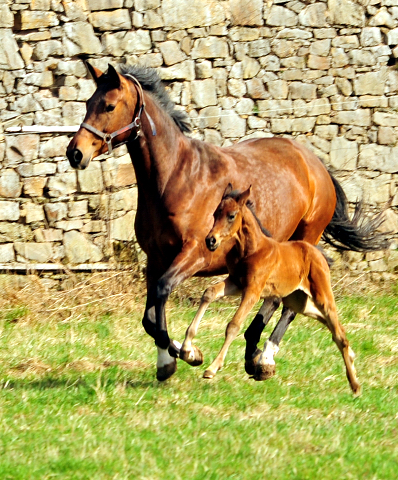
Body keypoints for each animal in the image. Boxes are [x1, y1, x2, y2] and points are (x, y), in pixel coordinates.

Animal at [182, 186, 362, 396]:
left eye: (231, 215)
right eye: (215, 214)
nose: (211, 240)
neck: (251, 249)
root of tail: (317, 252)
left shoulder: (253, 291)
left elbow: (234, 325)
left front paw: (212, 368)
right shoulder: (235, 282)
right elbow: (209, 292)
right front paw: (187, 350)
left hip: (321, 296)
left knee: (337, 330)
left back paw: (355, 385)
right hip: (298, 301)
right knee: (331, 325)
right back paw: (352, 362)